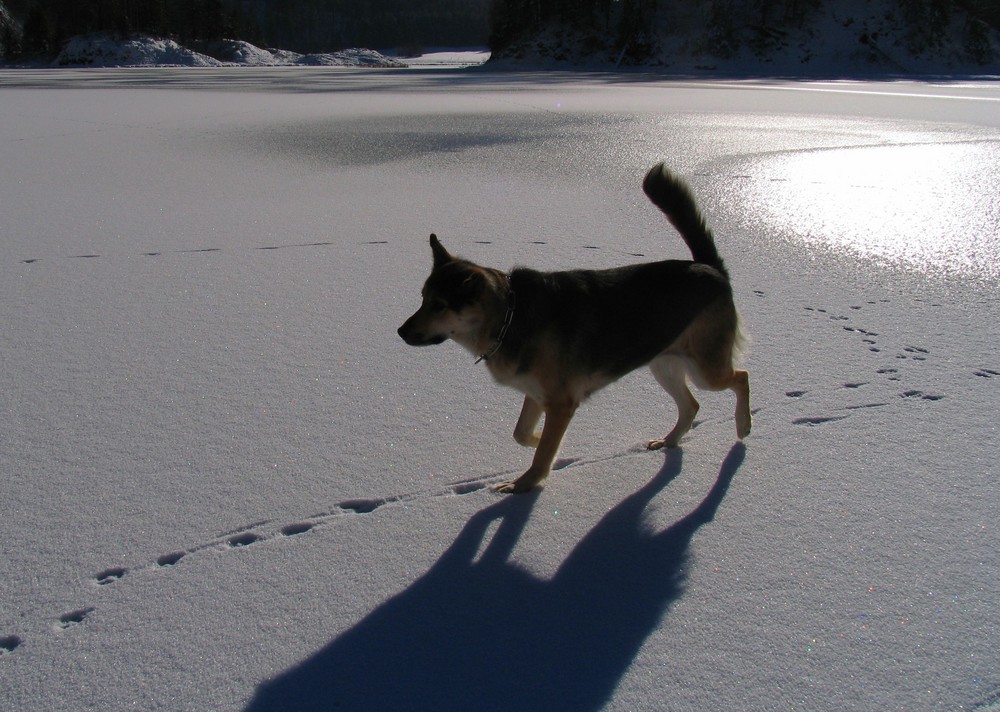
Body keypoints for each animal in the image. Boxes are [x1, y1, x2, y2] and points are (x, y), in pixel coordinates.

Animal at [398, 163, 752, 492]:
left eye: (439, 306)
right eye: (422, 298)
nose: (400, 332)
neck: (508, 318)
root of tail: (710, 268)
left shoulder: (560, 402)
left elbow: (541, 452)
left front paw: (524, 485)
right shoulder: (537, 394)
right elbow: (523, 434)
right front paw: (547, 444)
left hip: (705, 369)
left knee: (741, 378)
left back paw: (743, 425)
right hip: (664, 366)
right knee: (692, 405)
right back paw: (670, 441)